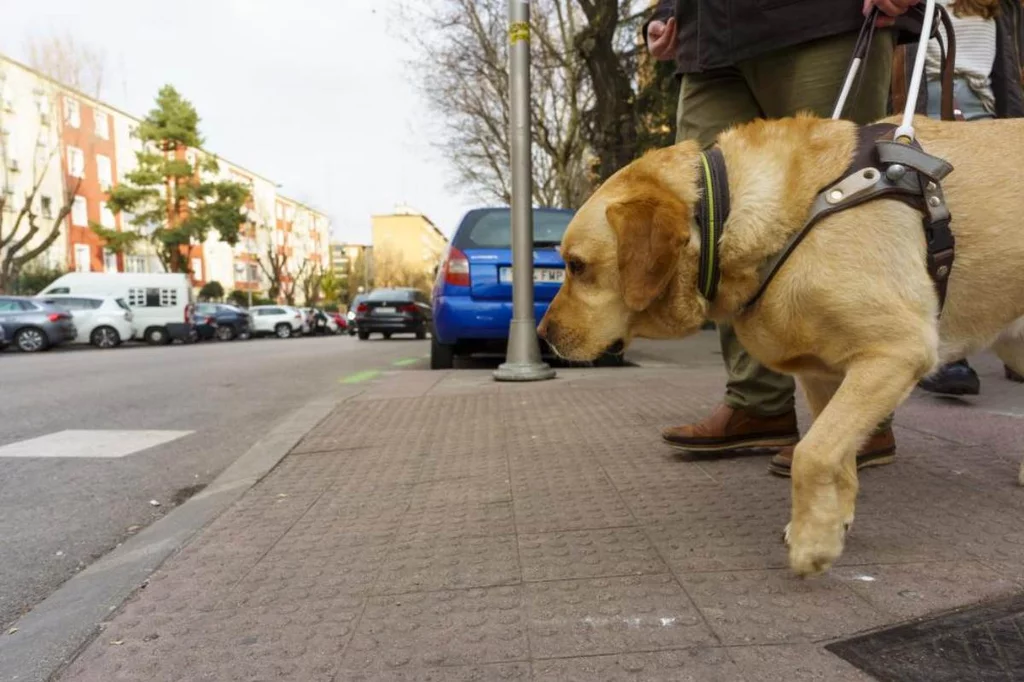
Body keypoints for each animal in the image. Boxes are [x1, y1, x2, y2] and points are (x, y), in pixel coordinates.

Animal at [536, 114, 1024, 577]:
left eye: (576, 266)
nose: (542, 335)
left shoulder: (897, 351)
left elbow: (812, 454)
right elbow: (838, 459)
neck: (726, 215)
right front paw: (831, 522)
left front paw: (814, 544)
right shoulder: (822, 374)